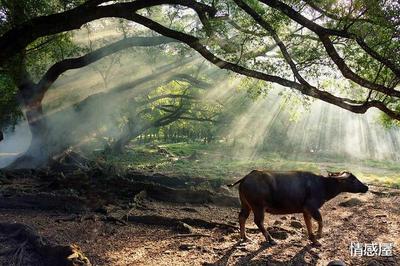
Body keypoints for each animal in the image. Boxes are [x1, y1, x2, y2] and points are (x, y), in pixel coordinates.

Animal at [228, 170, 368, 245]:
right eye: (353, 179)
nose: (366, 187)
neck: (322, 185)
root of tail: (246, 177)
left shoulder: (305, 210)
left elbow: (308, 223)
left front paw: (313, 239)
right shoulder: (312, 207)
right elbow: (320, 220)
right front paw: (318, 237)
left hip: (246, 204)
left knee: (242, 217)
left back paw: (245, 237)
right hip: (258, 206)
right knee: (258, 221)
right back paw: (271, 240)